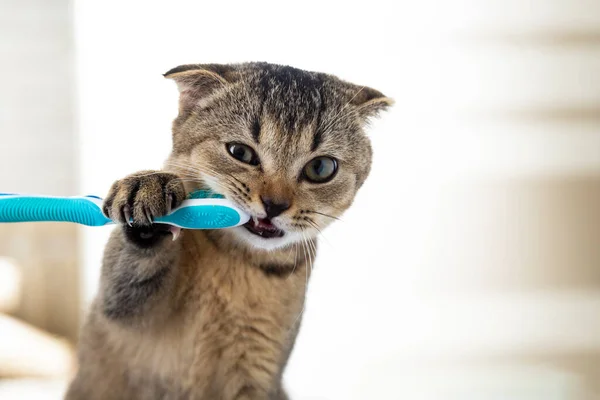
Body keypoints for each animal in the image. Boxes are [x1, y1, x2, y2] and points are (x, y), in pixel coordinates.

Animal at [65, 61, 392, 398]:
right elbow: (128, 280)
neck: (237, 260)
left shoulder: (258, 368)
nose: (274, 204)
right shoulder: (119, 308)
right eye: (240, 152)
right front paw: (149, 188)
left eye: (321, 168)